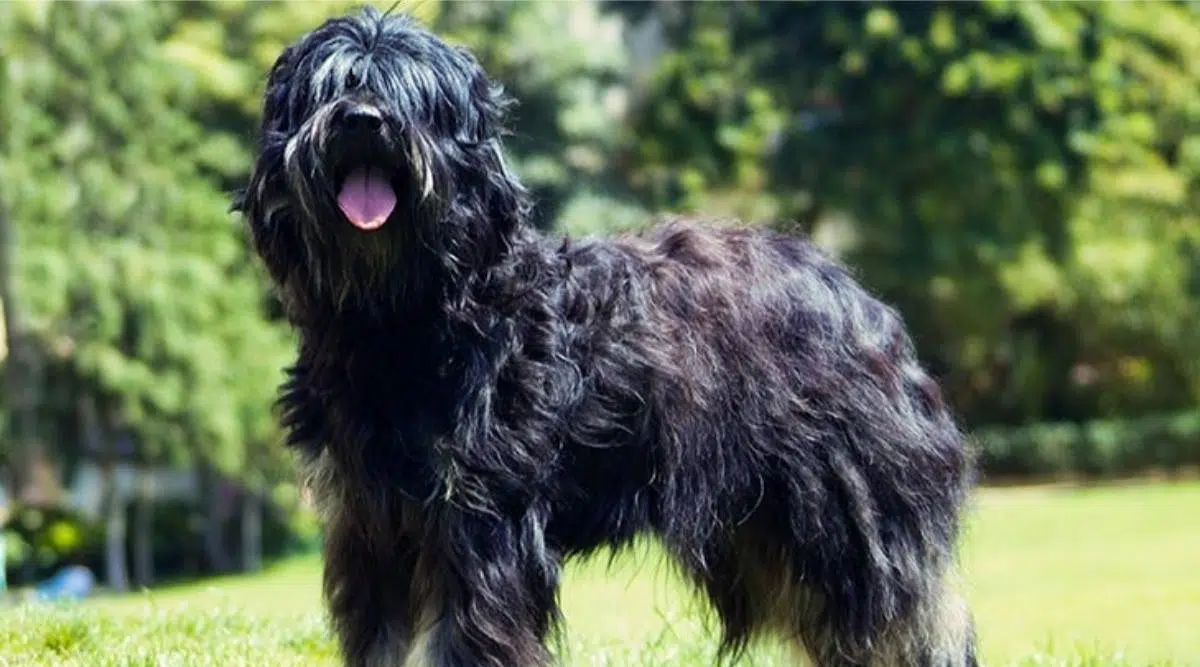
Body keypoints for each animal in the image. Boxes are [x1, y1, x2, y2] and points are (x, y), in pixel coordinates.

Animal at [236, 9, 984, 667]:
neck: (404, 319)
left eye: (411, 95)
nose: (364, 120)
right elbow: (383, 639)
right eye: (332, 86)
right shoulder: (369, 523)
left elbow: (463, 637)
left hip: (848, 523)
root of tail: (861, 300)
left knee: (909, 629)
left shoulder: (481, 521)